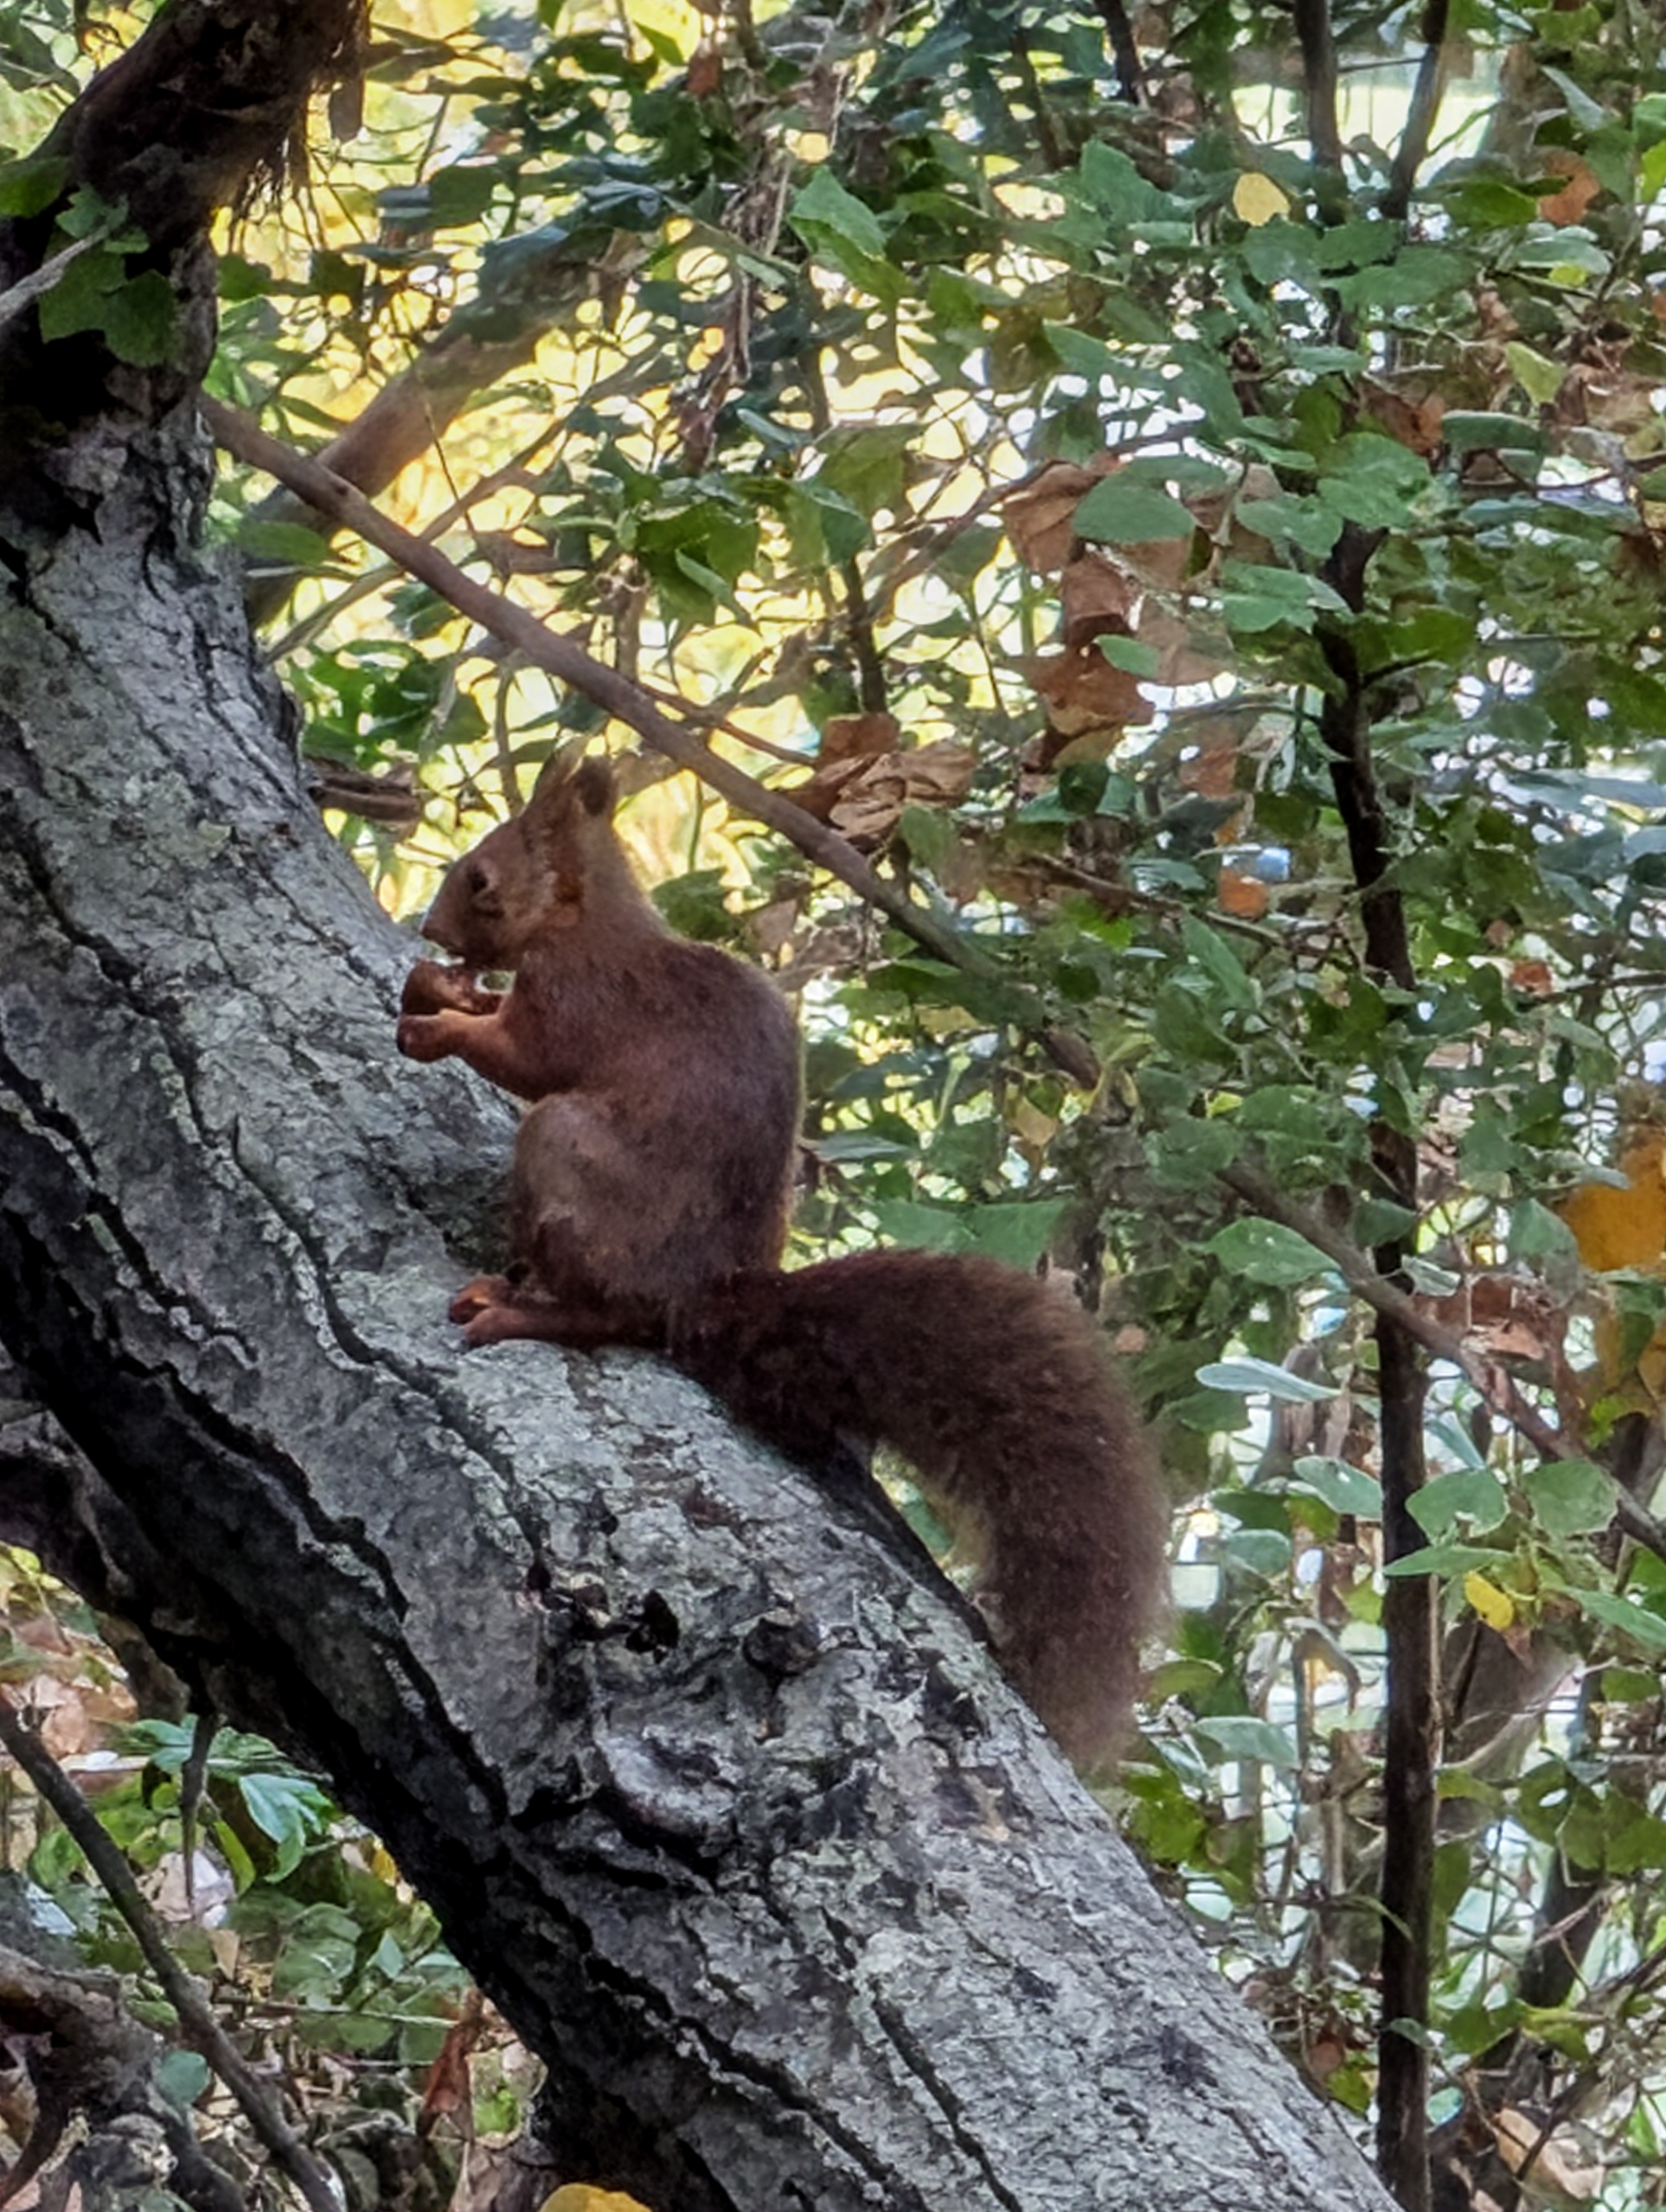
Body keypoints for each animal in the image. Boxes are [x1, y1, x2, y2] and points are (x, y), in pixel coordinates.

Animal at [397, 750, 1166, 1763]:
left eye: (482, 880)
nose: (430, 931)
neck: (591, 920)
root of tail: (705, 1296)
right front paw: (439, 989)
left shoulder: (578, 997)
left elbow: (526, 1058)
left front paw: (436, 1022)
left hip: (566, 1157)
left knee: (608, 1311)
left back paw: (519, 1308)